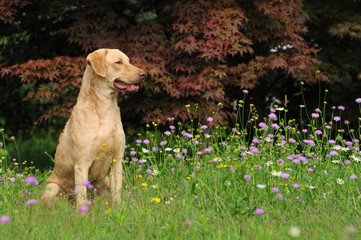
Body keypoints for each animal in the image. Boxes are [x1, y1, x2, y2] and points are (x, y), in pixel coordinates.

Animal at [41, 49, 145, 208]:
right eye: (118, 62)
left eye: (128, 61)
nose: (144, 74)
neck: (104, 110)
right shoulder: (82, 163)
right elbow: (82, 196)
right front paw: (82, 213)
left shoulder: (117, 161)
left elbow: (117, 194)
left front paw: (119, 210)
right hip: (51, 188)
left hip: (105, 182)